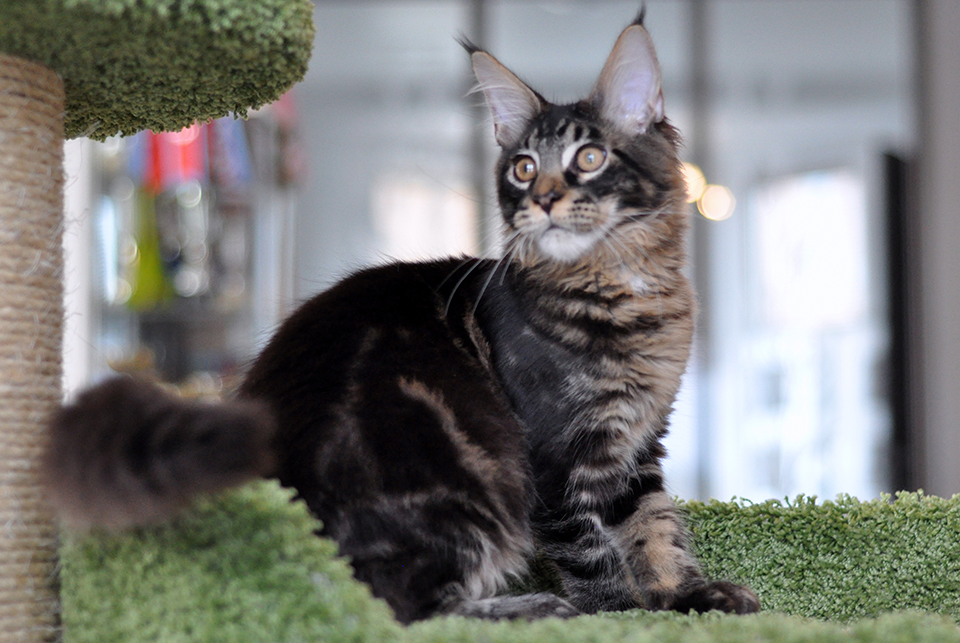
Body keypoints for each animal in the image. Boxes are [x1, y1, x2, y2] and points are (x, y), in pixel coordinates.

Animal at [43, 11, 756, 624]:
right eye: (524, 169)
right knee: (398, 604)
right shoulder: (557, 455)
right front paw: (625, 614)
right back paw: (530, 609)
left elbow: (655, 528)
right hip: (462, 475)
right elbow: (594, 554)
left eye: (589, 158)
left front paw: (688, 597)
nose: (547, 200)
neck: (624, 291)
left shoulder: (640, 443)